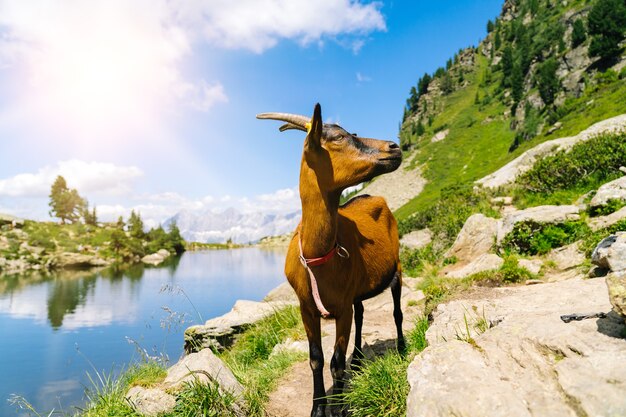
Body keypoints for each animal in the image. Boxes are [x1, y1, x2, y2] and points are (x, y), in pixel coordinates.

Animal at [256, 103, 402, 416]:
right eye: (338, 137)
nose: (394, 146)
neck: (317, 257)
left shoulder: (341, 308)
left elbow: (335, 363)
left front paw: (339, 407)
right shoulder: (307, 308)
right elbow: (316, 358)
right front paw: (317, 408)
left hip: (397, 267)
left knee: (397, 312)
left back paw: (402, 348)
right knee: (362, 314)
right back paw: (357, 360)